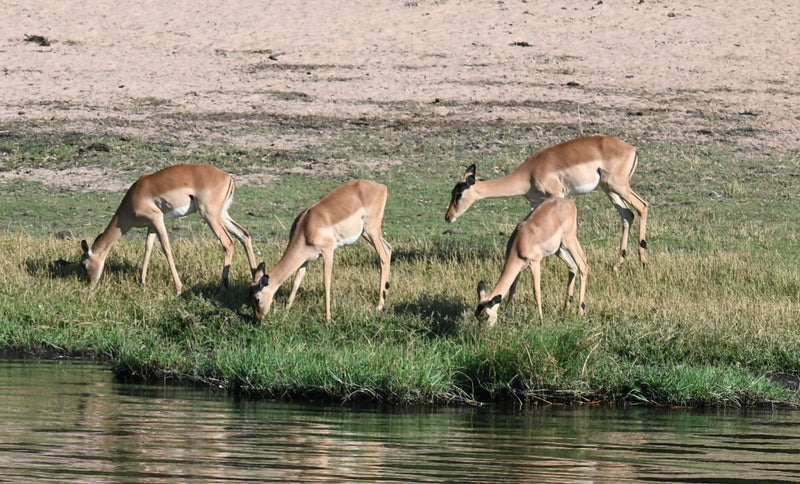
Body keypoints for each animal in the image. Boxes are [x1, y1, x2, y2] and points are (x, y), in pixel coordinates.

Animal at [80, 164, 257, 295]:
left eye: (84, 264)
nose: (88, 286)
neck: (133, 199)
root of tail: (228, 177)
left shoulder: (157, 219)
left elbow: (166, 249)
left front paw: (178, 289)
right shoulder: (151, 225)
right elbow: (148, 248)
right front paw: (142, 282)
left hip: (210, 215)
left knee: (228, 242)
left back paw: (222, 288)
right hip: (222, 215)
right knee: (244, 234)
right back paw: (254, 279)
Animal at [250, 179, 392, 322]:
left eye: (257, 299)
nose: (258, 318)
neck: (306, 229)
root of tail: (381, 186)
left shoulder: (328, 252)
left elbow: (326, 282)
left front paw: (328, 318)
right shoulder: (305, 259)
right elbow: (296, 282)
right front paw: (286, 311)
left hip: (372, 231)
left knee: (383, 257)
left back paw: (379, 306)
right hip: (366, 233)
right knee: (389, 248)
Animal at [446, 135, 649, 270]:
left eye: (458, 194)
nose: (448, 217)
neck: (529, 172)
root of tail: (631, 148)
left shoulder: (557, 195)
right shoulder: (536, 202)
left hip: (618, 186)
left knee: (642, 206)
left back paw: (643, 261)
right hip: (609, 189)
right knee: (627, 215)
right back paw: (617, 264)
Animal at [475, 197, 588, 325]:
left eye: (486, 316)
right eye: (476, 315)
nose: (482, 329)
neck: (519, 244)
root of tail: (570, 202)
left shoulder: (535, 262)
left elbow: (536, 292)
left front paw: (541, 321)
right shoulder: (518, 267)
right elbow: (512, 290)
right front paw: (504, 317)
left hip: (569, 240)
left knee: (583, 266)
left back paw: (580, 312)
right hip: (560, 249)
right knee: (573, 267)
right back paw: (565, 311)